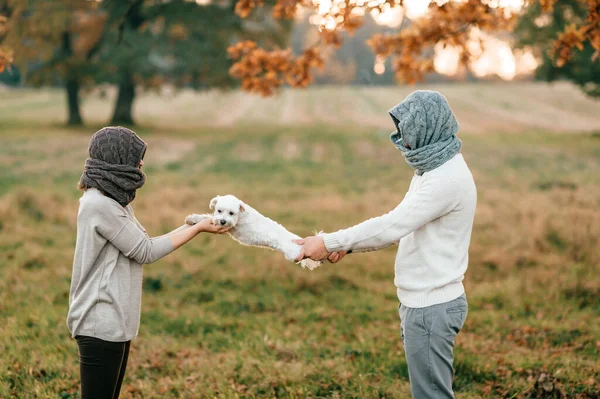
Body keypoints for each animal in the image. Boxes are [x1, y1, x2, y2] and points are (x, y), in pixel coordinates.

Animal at [185, 195, 324, 270]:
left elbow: (209, 219)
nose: (223, 221)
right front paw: (192, 219)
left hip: (294, 254)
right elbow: (206, 217)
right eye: (219, 210)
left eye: (231, 213)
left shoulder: (230, 227)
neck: (240, 214)